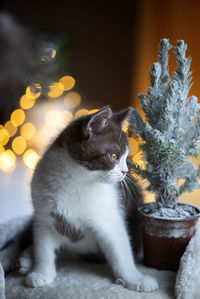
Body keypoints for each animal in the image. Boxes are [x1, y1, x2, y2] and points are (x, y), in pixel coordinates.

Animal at [25, 106, 158, 292]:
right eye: (113, 156)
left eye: (126, 157)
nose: (125, 172)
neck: (76, 181)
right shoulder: (43, 218)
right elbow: (43, 248)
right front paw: (42, 273)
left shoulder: (110, 219)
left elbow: (121, 251)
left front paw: (135, 278)